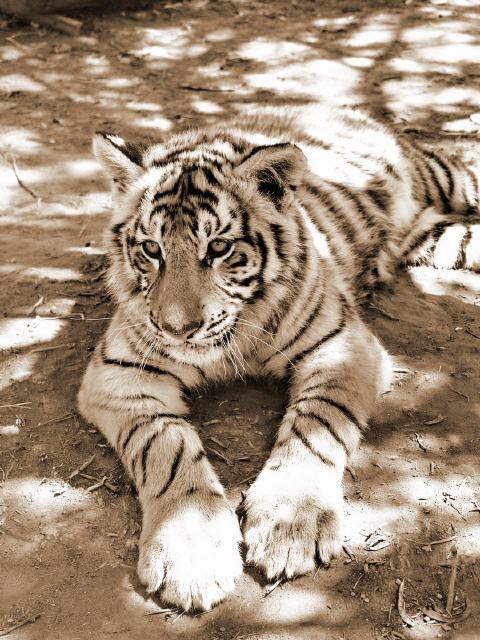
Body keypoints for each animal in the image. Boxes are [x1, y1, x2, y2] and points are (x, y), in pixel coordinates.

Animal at [78, 105, 480, 612]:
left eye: (219, 247)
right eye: (151, 249)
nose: (176, 329)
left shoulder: (342, 344)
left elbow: (317, 425)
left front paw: (292, 524)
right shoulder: (119, 373)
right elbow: (164, 445)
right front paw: (190, 549)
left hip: (447, 177)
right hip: (442, 239)